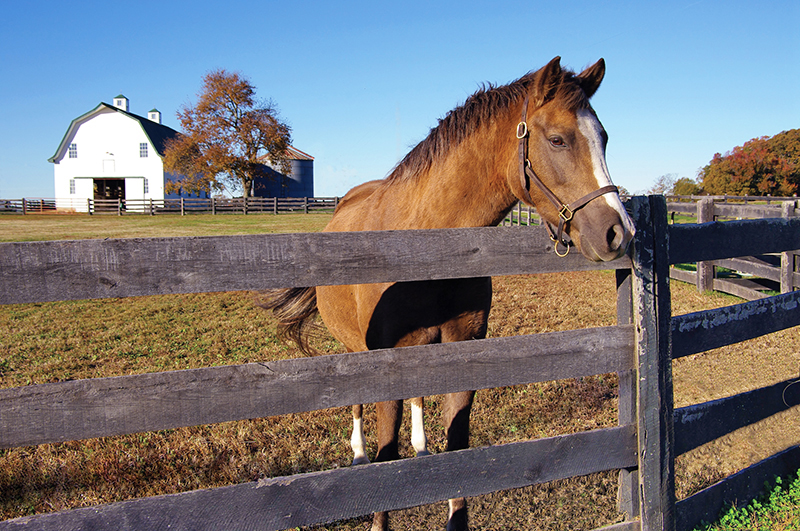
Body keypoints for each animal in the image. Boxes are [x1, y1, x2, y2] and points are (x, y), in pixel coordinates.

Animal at [261, 56, 635, 531]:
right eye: (557, 139)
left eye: (603, 137)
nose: (618, 231)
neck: (426, 248)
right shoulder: (385, 364)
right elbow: (386, 455)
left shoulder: (460, 353)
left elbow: (456, 450)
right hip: (355, 349)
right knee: (359, 408)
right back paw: (358, 453)